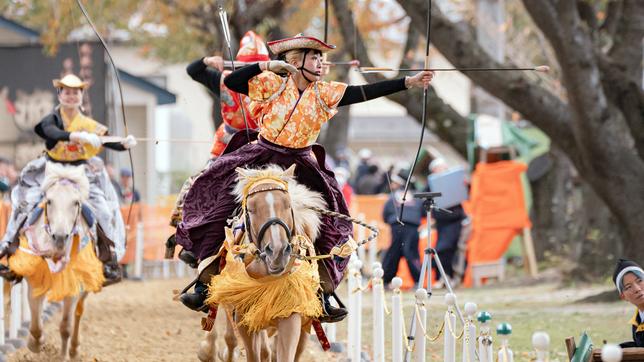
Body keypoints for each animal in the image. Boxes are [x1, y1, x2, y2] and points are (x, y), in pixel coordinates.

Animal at [10, 163, 104, 360]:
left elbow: (66, 326)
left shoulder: (73, 286)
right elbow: (36, 324)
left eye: (75, 202)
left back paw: (74, 349)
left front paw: (62, 355)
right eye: (49, 201)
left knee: (78, 312)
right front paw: (34, 344)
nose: (60, 237)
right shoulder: (35, 281)